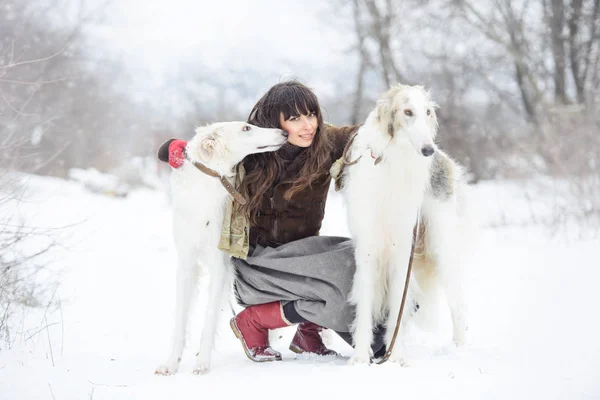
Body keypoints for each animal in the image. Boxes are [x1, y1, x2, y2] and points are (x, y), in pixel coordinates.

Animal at [154, 120, 288, 374]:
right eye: (246, 128)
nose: (284, 132)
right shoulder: (186, 264)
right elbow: (180, 320)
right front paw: (171, 363)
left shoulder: (220, 266)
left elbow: (208, 318)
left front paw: (202, 363)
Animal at [340, 84, 472, 366]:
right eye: (407, 111)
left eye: (428, 112)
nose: (427, 150)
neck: (394, 160)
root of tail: (444, 158)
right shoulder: (368, 248)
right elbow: (366, 304)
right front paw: (360, 357)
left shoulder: (402, 247)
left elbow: (398, 306)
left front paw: (396, 356)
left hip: (441, 243)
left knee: (458, 303)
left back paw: (460, 349)